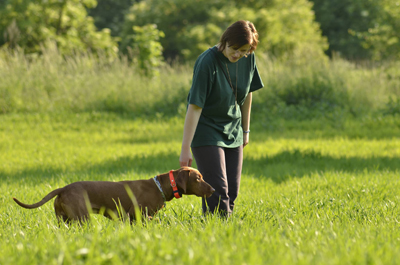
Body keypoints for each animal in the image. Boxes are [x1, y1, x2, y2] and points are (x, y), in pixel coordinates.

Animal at [12, 166, 214, 224]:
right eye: (198, 178)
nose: (213, 190)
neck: (159, 186)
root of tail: (63, 188)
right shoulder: (136, 215)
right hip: (82, 219)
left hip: (64, 221)